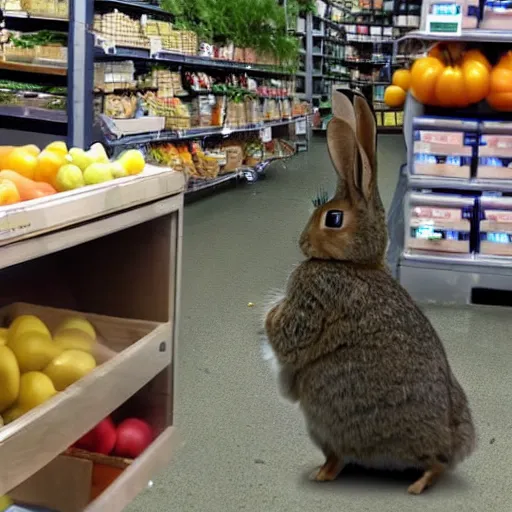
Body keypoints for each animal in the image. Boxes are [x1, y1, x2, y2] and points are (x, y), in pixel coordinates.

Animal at [264, 90, 476, 494]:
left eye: (332, 218)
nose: (303, 242)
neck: (356, 264)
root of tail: (448, 449)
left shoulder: (314, 297)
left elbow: (289, 334)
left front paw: (270, 314)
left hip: (327, 423)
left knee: (349, 456)